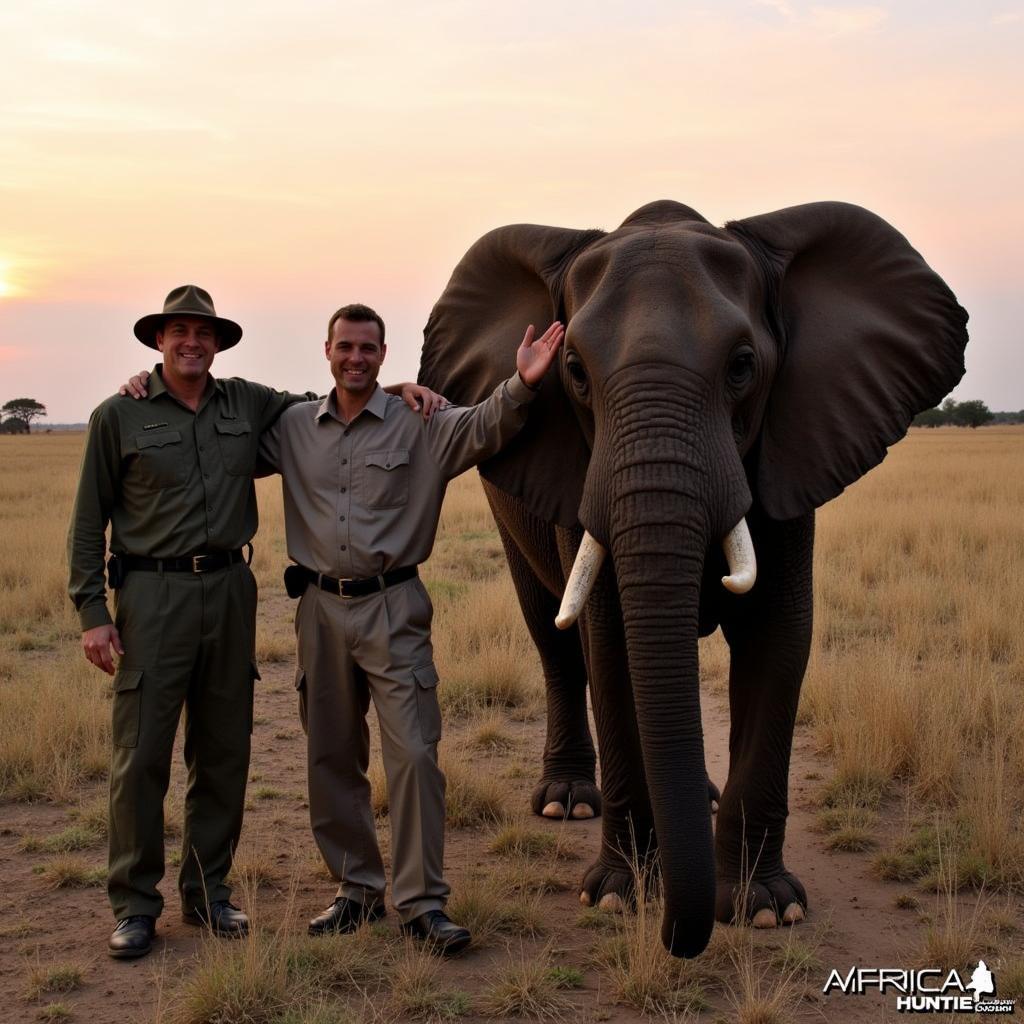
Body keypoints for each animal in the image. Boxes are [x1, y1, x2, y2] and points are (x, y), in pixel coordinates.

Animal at [415, 201, 966, 958]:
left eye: (743, 366)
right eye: (573, 370)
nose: (680, 935)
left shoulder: (788, 457)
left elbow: (776, 640)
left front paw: (765, 909)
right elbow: (610, 644)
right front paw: (618, 897)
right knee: (553, 639)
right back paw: (565, 802)